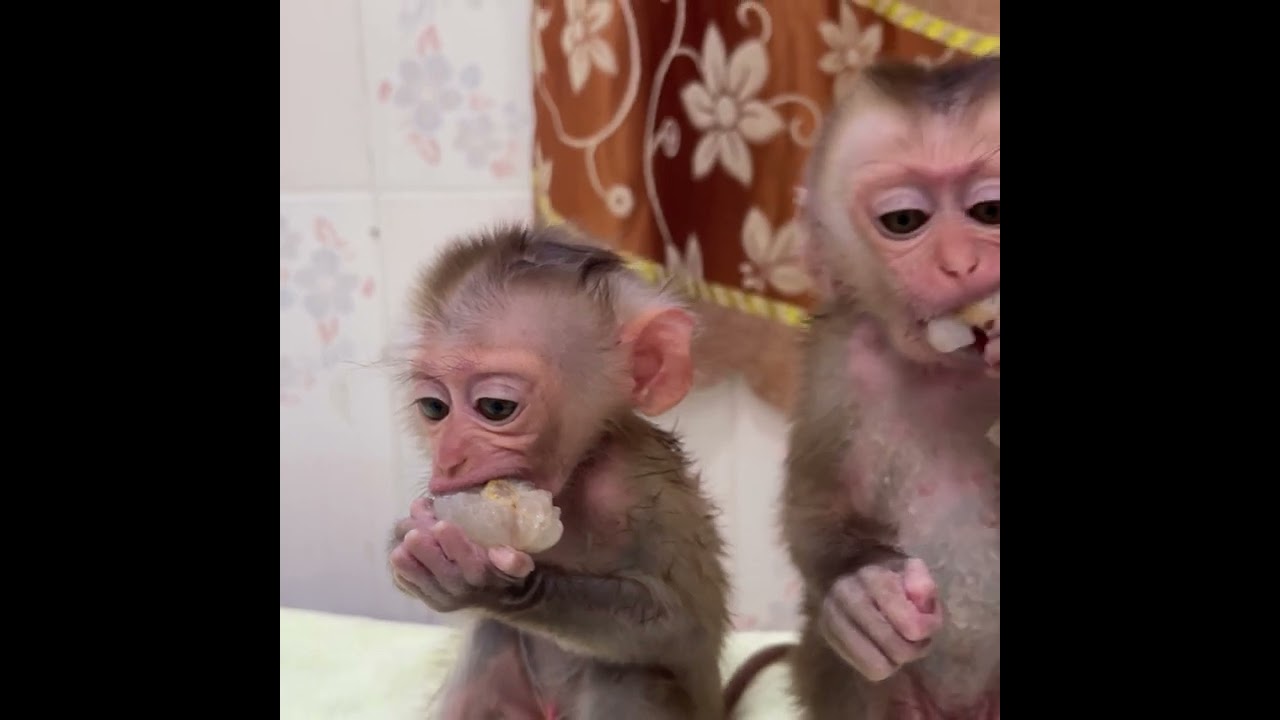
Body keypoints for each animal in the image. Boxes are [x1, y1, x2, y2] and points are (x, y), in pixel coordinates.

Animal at [385, 225, 732, 720]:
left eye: (495, 407)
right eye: (434, 408)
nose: (448, 458)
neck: (571, 479)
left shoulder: (641, 487)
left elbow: (681, 629)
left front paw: (495, 586)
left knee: (624, 674)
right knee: (494, 635)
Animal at [725, 57, 1001, 719]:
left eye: (989, 211)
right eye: (904, 221)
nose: (960, 265)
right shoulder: (838, 362)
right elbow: (816, 501)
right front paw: (859, 593)